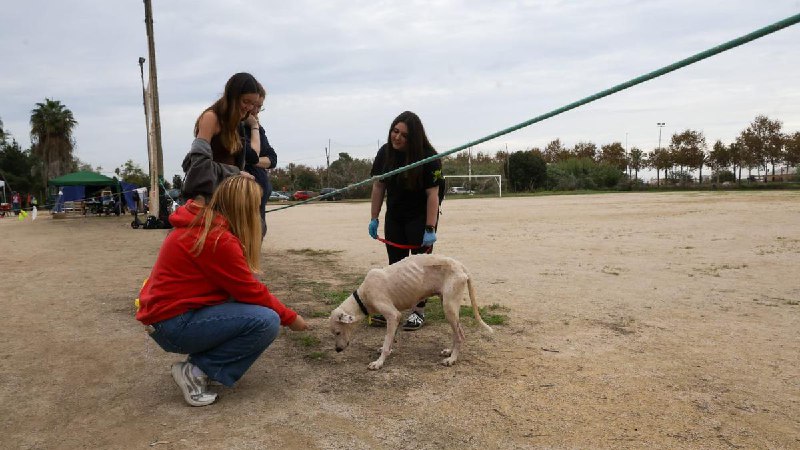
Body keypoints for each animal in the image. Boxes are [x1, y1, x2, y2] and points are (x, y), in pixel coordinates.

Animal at [326, 253, 490, 370]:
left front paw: (379, 362)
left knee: (460, 335)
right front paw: (387, 350)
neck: (362, 296)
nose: (337, 350)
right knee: (457, 333)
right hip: (449, 307)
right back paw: (449, 351)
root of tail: (460, 265)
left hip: (449, 308)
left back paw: (452, 359)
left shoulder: (393, 316)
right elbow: (391, 338)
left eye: (338, 332)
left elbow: (387, 340)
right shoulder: (395, 318)